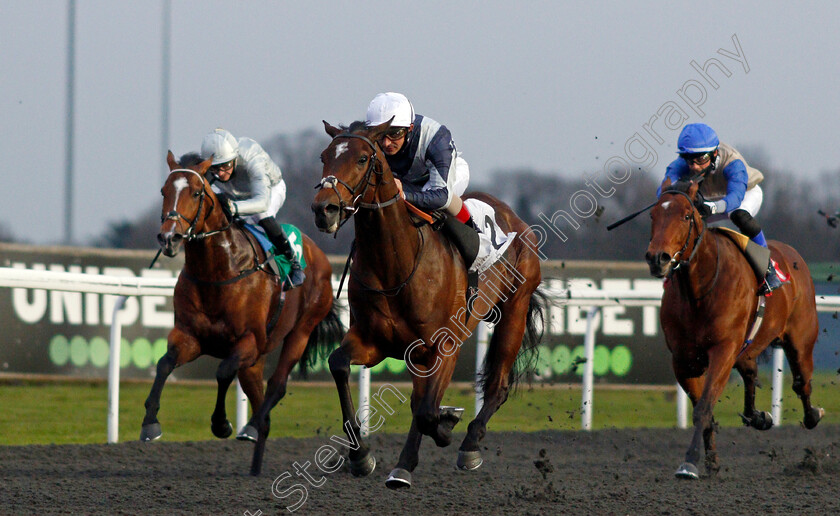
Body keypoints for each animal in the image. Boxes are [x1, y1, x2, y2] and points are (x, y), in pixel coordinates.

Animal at [143, 150, 342, 476]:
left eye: (196, 192)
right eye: (164, 191)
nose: (169, 238)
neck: (218, 271)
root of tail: (321, 256)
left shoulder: (247, 341)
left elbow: (223, 371)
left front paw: (221, 424)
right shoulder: (190, 337)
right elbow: (164, 364)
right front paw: (150, 423)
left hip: (299, 333)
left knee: (277, 385)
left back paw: (249, 427)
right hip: (256, 360)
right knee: (264, 411)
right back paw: (254, 461)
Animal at [310, 120, 544, 488]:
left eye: (362, 158)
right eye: (324, 156)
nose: (324, 209)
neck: (395, 265)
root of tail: (515, 219)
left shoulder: (443, 346)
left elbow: (427, 411)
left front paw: (445, 427)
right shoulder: (374, 341)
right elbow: (339, 365)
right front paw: (361, 456)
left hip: (514, 312)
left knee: (497, 385)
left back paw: (469, 444)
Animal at [648, 180, 824, 480]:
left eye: (686, 216)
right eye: (653, 215)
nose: (657, 258)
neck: (699, 292)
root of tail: (792, 254)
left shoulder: (723, 350)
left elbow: (704, 408)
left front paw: (690, 462)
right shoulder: (683, 361)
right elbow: (702, 408)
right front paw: (710, 461)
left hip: (801, 339)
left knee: (802, 382)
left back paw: (813, 415)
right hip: (746, 348)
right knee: (752, 374)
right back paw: (759, 417)